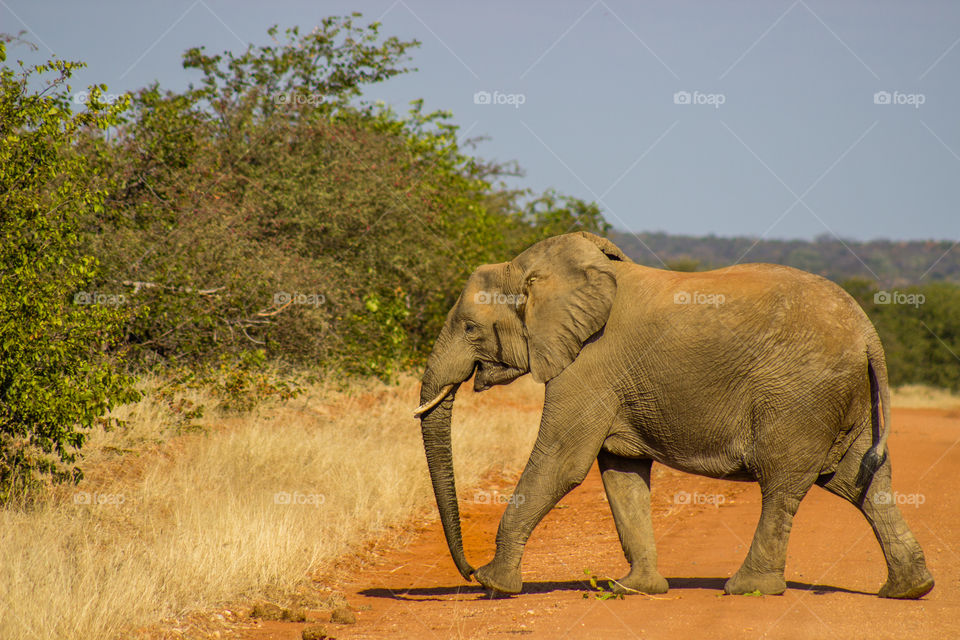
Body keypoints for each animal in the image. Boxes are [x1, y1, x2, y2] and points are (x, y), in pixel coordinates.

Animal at [414, 231, 934, 599]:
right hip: (847, 397)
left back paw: (748, 588)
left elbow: (562, 463)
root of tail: (868, 331)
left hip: (799, 395)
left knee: (784, 484)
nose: (466, 570)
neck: (533, 269)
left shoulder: (590, 363)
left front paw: (494, 584)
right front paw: (634, 589)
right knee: (861, 481)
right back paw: (909, 588)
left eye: (470, 328)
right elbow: (621, 473)